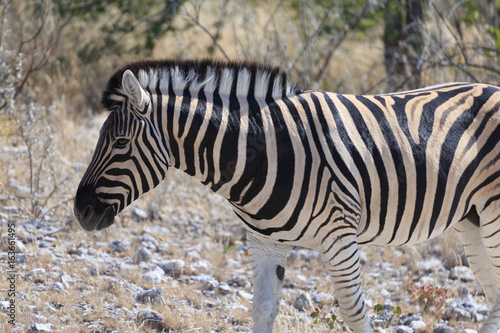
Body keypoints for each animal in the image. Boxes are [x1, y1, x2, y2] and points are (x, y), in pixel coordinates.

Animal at [74, 58, 500, 330]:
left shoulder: (339, 237)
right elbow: (263, 309)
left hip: (493, 214)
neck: (265, 149)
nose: (81, 211)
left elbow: (353, 311)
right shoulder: (265, 242)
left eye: (121, 144)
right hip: (472, 218)